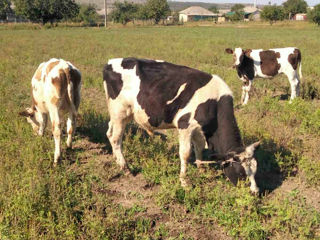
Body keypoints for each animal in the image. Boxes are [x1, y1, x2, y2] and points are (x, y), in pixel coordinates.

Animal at [104, 58, 262, 193]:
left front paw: (201, 169)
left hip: (120, 115)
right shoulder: (185, 125)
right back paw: (125, 168)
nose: (255, 192)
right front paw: (184, 182)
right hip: (120, 112)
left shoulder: (199, 128)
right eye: (241, 173)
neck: (215, 102)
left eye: (255, 170)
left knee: (109, 133)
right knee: (116, 139)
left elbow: (199, 148)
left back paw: (116, 161)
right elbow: (185, 154)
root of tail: (111, 62)